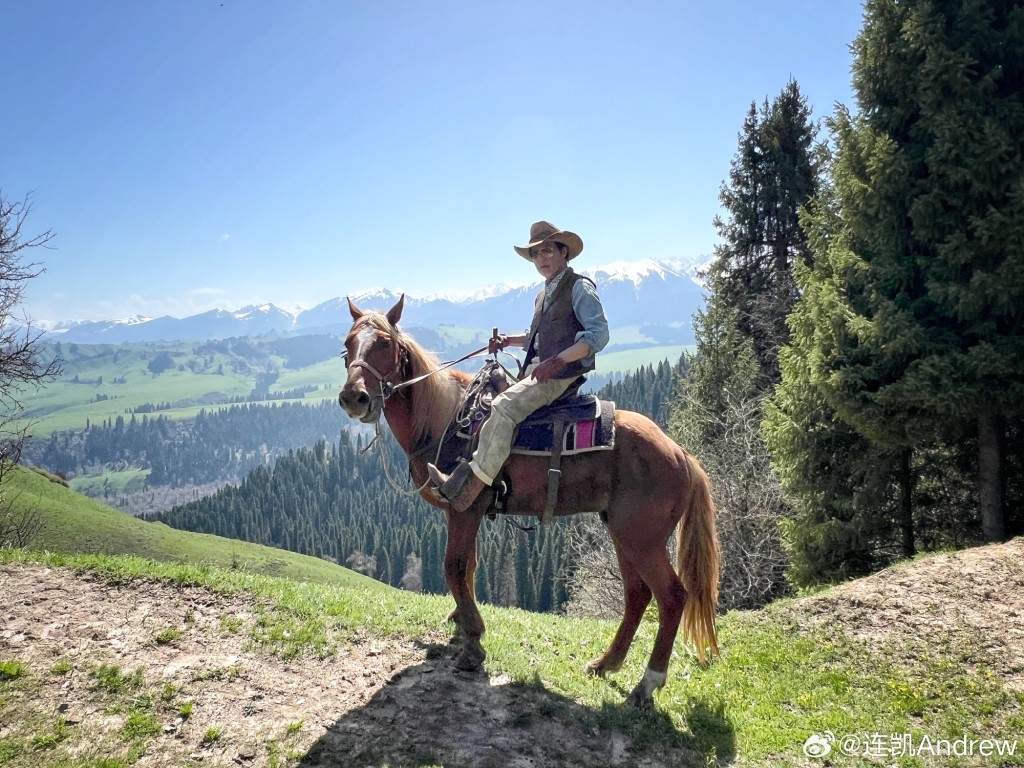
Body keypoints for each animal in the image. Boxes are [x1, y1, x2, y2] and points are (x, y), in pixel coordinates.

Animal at [337, 296, 720, 708]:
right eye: (347, 346)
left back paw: (647, 684)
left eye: (385, 344)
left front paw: (473, 643)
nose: (354, 398)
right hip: (624, 533)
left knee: (672, 596)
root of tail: (681, 454)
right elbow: (469, 568)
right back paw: (606, 664)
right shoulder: (467, 514)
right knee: (637, 594)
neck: (445, 421)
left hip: (641, 538)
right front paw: (461, 622)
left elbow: (454, 567)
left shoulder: (464, 508)